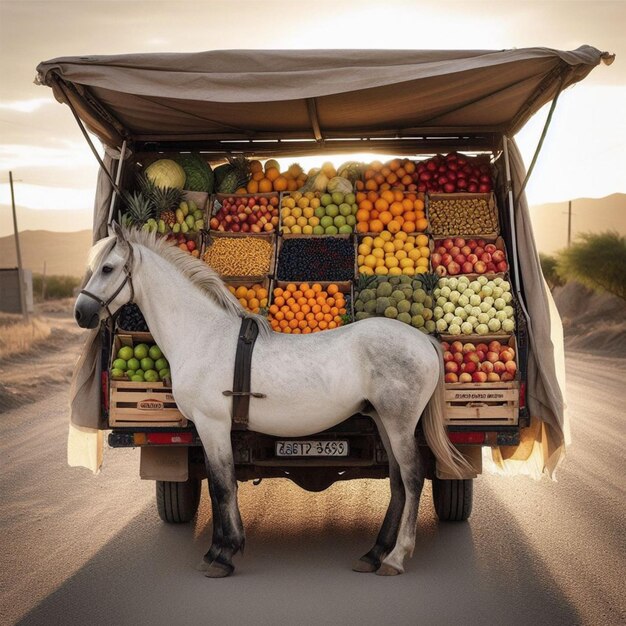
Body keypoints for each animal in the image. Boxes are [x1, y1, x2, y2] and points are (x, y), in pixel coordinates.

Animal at [75, 224, 468, 576]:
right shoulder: (209, 430)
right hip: (383, 420)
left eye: (108, 268)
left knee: (412, 477)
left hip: (400, 423)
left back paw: (395, 558)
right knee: (398, 481)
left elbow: (221, 486)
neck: (203, 335)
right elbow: (221, 485)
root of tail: (423, 339)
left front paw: (222, 556)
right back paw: (373, 554)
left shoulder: (212, 425)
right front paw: (221, 549)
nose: (81, 313)